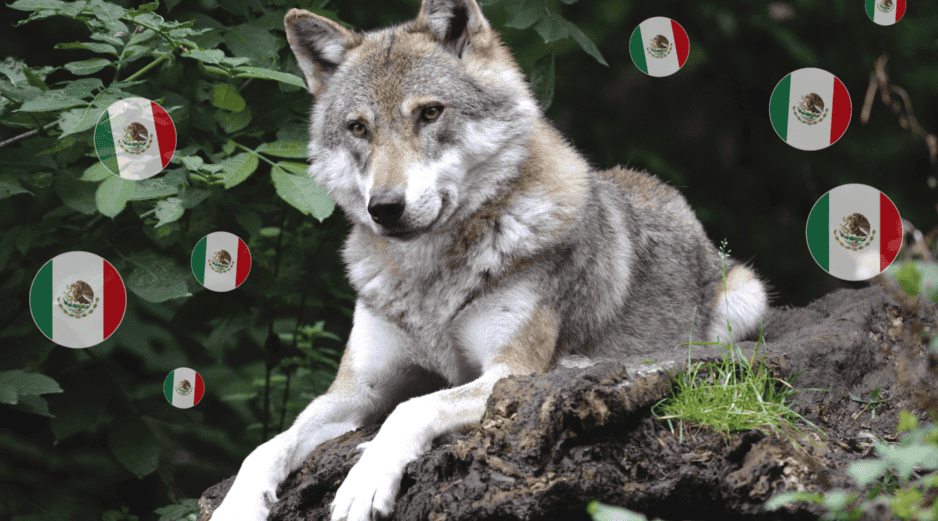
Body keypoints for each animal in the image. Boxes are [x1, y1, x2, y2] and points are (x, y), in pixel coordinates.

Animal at [210, 1, 769, 520]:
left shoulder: (507, 373)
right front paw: (237, 504)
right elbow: (270, 444)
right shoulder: (357, 388)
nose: (384, 208)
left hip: (745, 299)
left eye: (429, 113)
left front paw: (364, 481)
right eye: (358, 128)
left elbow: (411, 408)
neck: (428, 278)